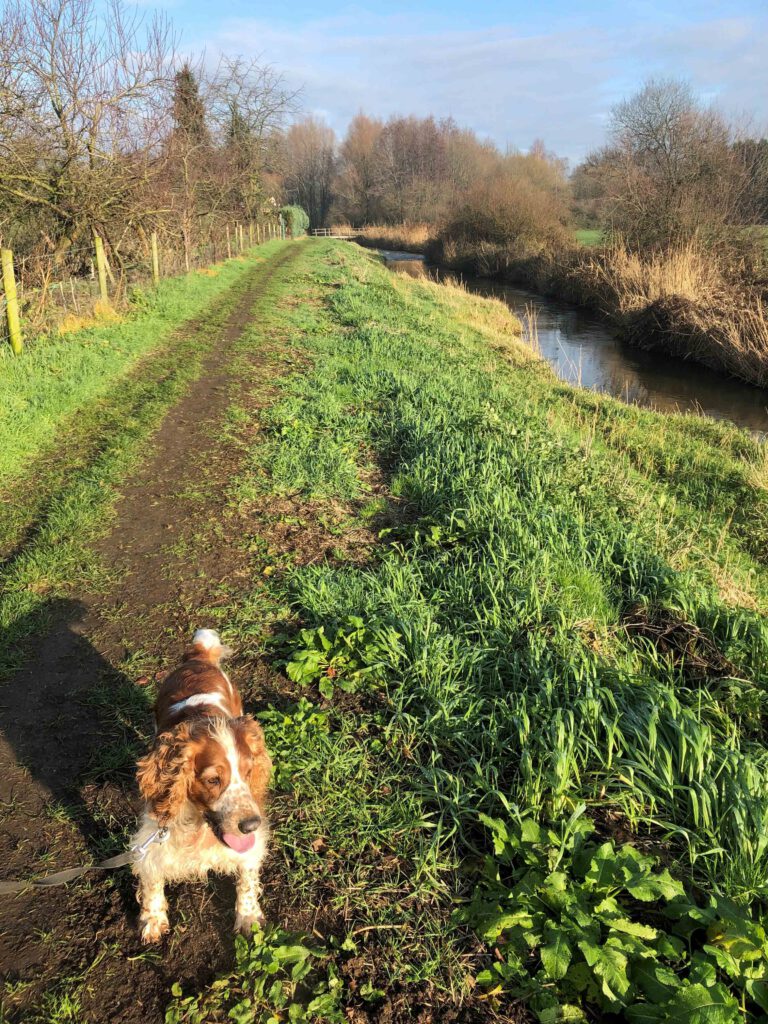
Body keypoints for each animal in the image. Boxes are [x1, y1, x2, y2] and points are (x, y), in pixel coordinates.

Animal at [132, 626, 274, 937]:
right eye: (212, 780)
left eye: (248, 772)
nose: (250, 825)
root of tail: (199, 657)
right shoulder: (154, 833)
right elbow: (151, 877)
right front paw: (153, 919)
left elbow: (246, 877)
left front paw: (248, 916)